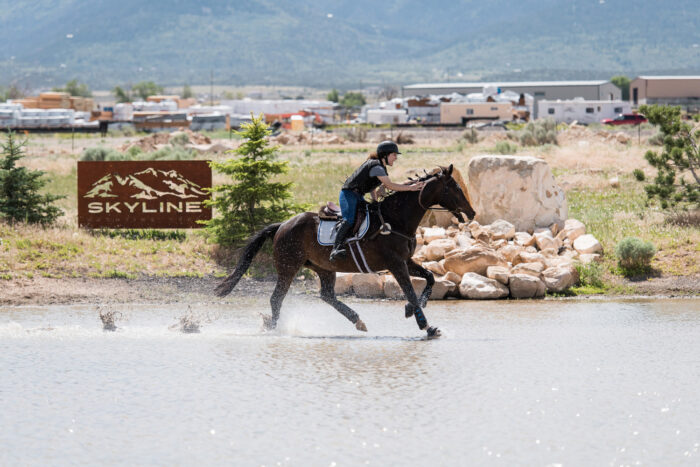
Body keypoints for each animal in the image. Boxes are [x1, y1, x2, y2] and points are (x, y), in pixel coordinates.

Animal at [215, 164, 476, 338]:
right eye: (453, 188)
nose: (472, 212)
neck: (397, 220)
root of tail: (282, 225)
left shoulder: (406, 261)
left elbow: (429, 278)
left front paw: (412, 310)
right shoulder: (395, 263)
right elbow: (410, 291)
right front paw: (427, 327)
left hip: (323, 267)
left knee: (327, 295)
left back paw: (358, 321)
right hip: (289, 266)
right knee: (277, 297)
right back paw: (273, 327)